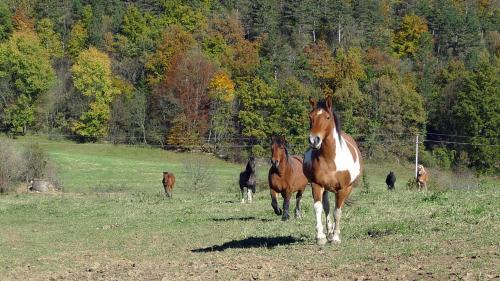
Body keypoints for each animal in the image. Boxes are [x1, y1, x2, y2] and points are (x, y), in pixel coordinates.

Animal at [300, 95, 364, 243]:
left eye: (327, 117)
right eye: (310, 116)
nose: (314, 140)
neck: (330, 160)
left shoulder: (343, 188)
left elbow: (337, 211)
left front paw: (335, 237)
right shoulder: (317, 185)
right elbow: (318, 208)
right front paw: (320, 236)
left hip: (346, 189)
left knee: (336, 208)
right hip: (326, 189)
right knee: (327, 207)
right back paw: (328, 231)